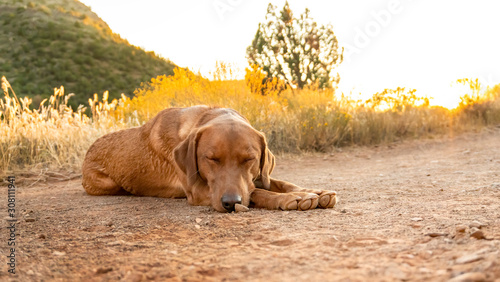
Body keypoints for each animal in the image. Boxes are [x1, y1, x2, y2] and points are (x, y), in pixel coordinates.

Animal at [82, 106, 336, 212]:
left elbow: (277, 182)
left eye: (249, 159)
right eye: (211, 159)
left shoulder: (256, 176)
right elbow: (257, 192)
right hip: (107, 183)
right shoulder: (199, 191)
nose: (230, 203)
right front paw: (291, 199)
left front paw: (312, 191)